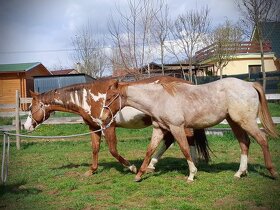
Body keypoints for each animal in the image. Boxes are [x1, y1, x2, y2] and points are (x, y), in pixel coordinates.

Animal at [24, 76, 211, 176]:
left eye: (31, 108)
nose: (26, 126)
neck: (89, 97)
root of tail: (187, 83)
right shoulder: (94, 128)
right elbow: (95, 149)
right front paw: (91, 171)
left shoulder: (108, 127)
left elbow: (113, 150)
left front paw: (132, 167)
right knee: (169, 140)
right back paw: (152, 165)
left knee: (187, 139)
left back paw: (192, 164)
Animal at [101, 76, 278, 182]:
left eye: (110, 98)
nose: (103, 117)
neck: (159, 99)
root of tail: (249, 84)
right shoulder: (159, 128)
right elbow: (150, 150)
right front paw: (139, 175)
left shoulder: (177, 127)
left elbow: (185, 149)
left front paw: (192, 175)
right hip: (235, 122)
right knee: (244, 143)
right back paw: (240, 173)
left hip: (246, 122)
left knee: (262, 140)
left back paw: (272, 172)